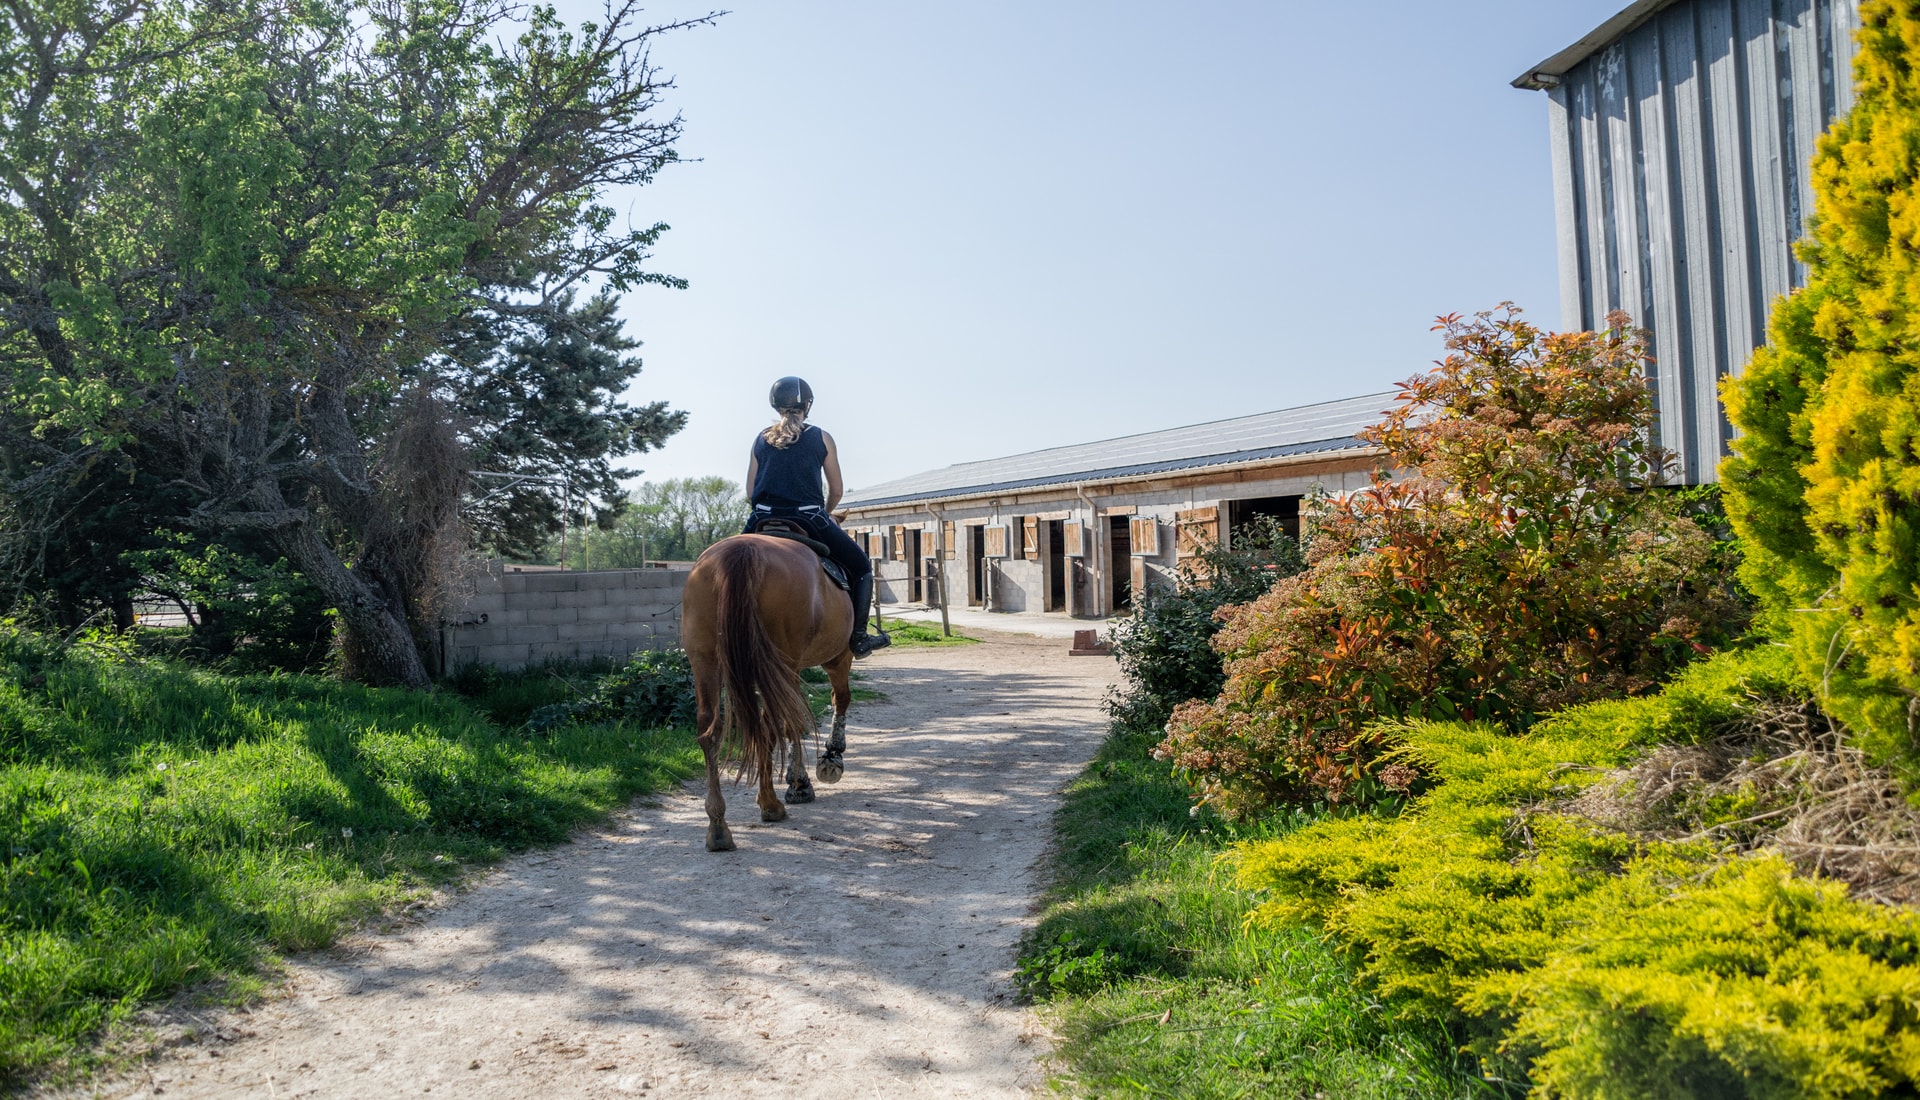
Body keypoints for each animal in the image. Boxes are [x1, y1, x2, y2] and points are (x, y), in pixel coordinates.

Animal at [680, 533, 857, 852]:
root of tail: (741, 552)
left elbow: (794, 723)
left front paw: (800, 779)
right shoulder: (837, 657)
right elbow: (834, 701)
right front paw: (825, 762)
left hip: (705, 659)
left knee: (711, 730)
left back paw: (718, 826)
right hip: (782, 663)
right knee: (769, 724)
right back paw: (770, 804)